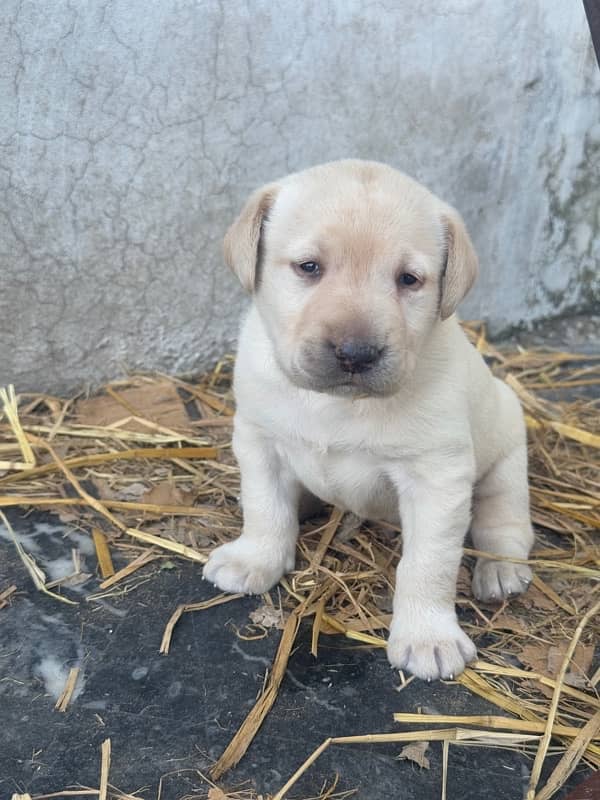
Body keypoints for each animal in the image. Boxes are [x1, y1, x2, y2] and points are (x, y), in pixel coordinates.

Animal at [204, 159, 532, 680]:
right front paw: (255, 558)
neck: (337, 403)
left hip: (506, 450)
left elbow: (427, 562)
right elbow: (264, 508)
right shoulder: (258, 441)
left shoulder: (438, 478)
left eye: (409, 280)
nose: (356, 354)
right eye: (309, 267)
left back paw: (500, 569)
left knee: (503, 519)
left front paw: (428, 635)